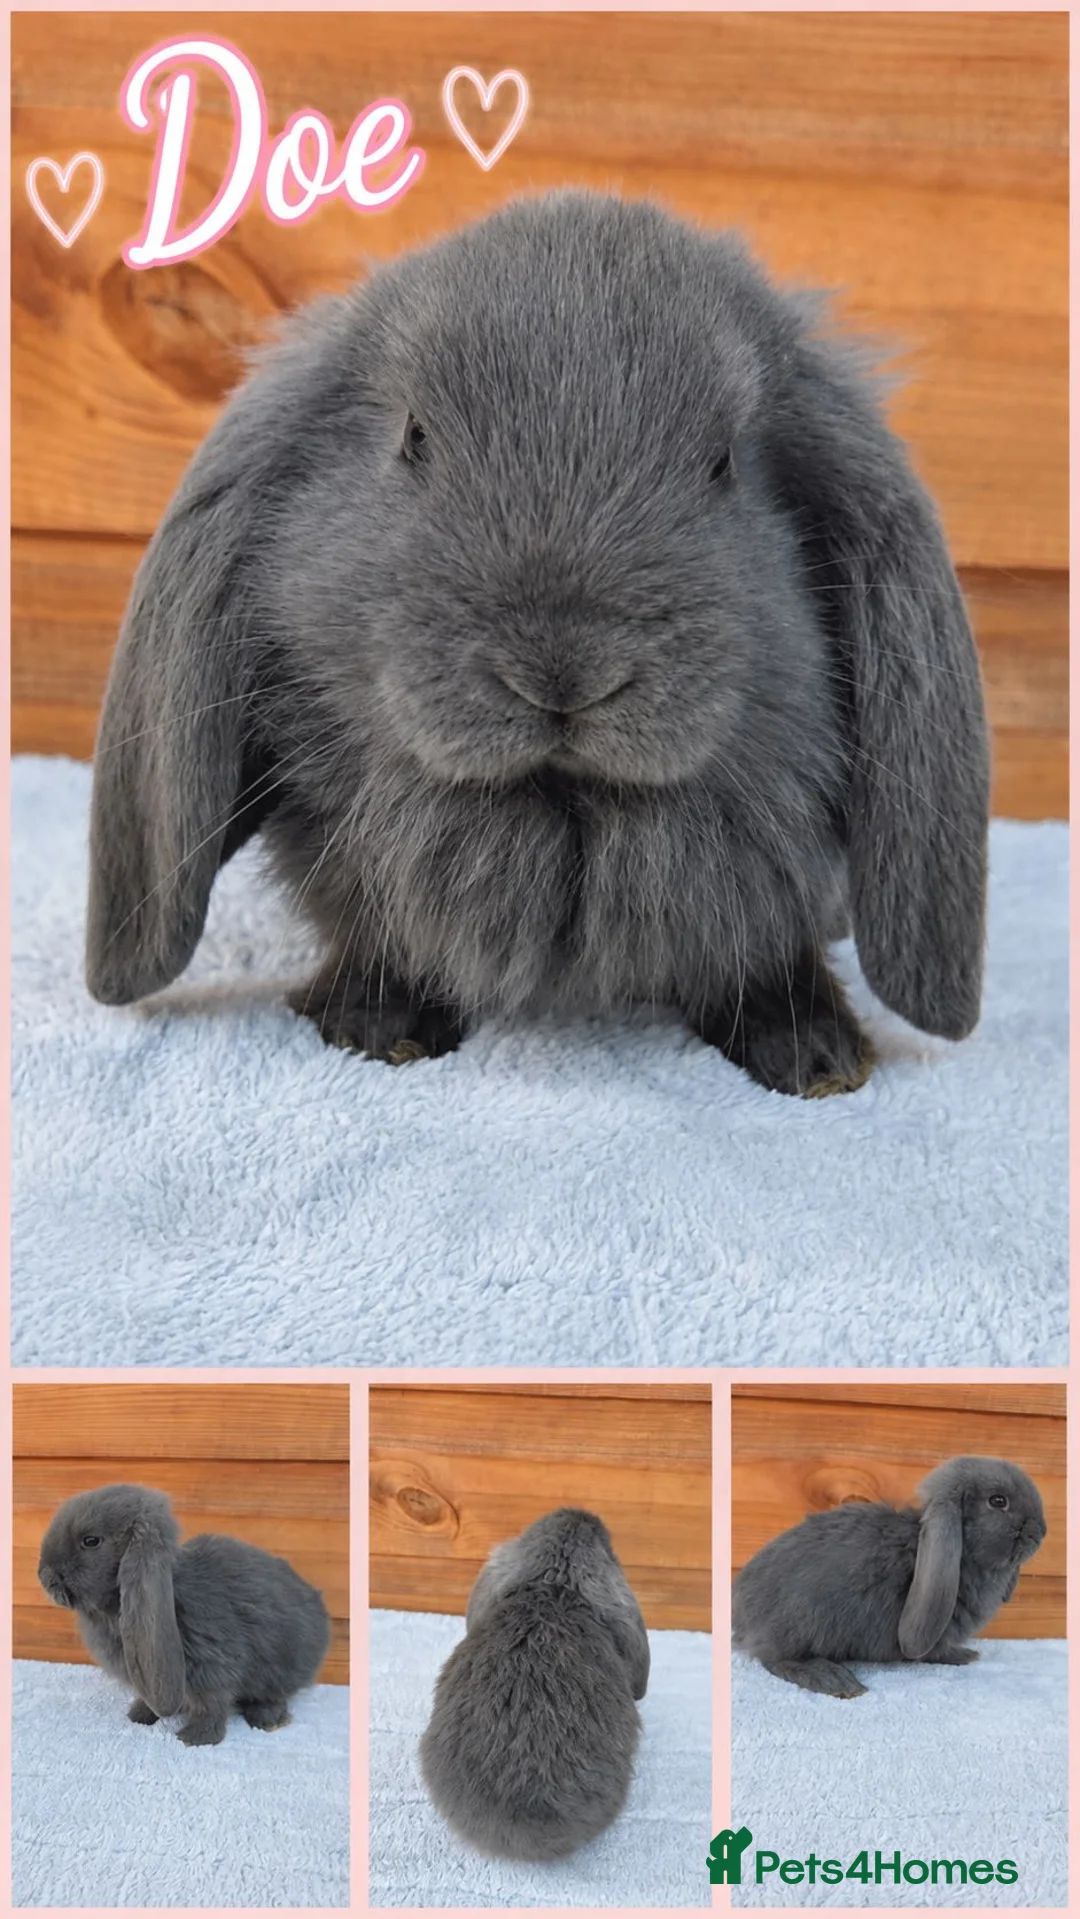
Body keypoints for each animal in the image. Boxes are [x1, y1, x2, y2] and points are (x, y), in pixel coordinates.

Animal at [38, 1483, 331, 1744]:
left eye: (91, 1541)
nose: (44, 1576)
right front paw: (139, 1716)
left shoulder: (212, 1665)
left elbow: (211, 1705)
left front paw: (195, 1738)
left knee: (275, 1693)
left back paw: (268, 1719)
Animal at [732, 1455, 1047, 1697]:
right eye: (998, 1501)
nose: (1041, 1532)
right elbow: (935, 1651)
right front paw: (964, 1655)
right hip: (800, 1621)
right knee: (774, 1658)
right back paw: (835, 1680)